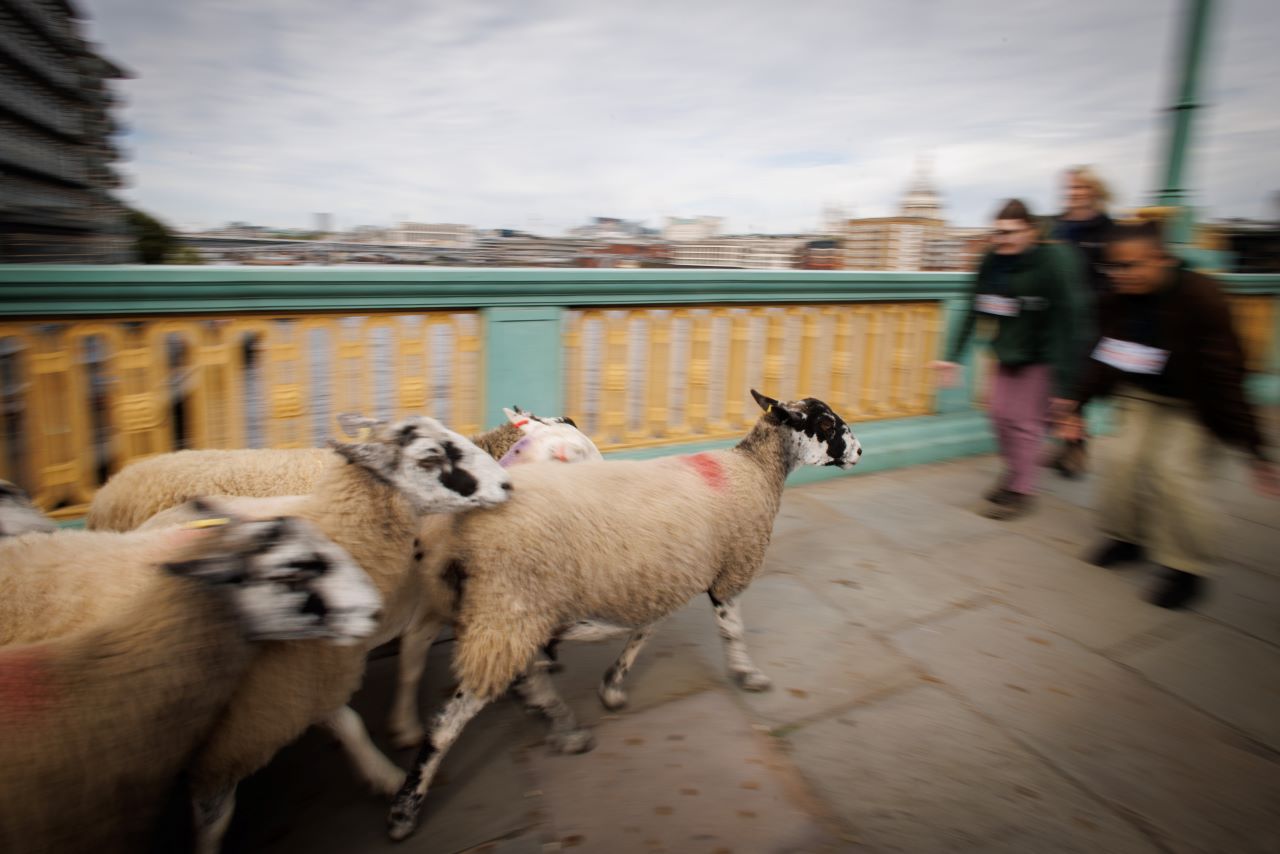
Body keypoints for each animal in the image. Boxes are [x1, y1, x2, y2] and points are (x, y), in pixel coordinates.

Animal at [0, 501, 384, 854]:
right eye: (291, 573)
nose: (374, 610)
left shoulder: (290, 695)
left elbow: (350, 723)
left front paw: (384, 776)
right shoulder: (225, 750)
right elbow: (214, 822)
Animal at [120, 414, 514, 854]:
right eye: (429, 456)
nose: (505, 485)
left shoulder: (310, 672)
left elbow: (364, 708)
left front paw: (391, 761)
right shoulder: (276, 693)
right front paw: (397, 760)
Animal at [381, 391, 860, 839]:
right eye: (825, 423)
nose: (857, 451)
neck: (755, 469)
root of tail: (457, 536)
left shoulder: (661, 576)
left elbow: (644, 633)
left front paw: (611, 686)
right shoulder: (728, 571)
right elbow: (732, 630)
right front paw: (748, 675)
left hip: (508, 616)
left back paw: (556, 721)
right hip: (511, 613)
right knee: (446, 724)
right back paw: (404, 811)